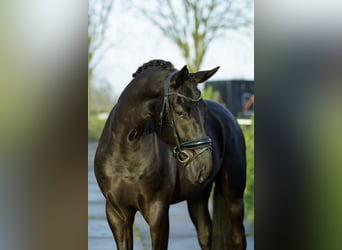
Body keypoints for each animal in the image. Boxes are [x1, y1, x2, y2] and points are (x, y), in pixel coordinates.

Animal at [94, 59, 246, 249]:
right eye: (180, 112)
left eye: (204, 111)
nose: (204, 166)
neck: (126, 150)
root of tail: (230, 117)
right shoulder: (117, 214)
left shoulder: (158, 212)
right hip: (197, 196)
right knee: (205, 234)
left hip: (234, 196)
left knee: (238, 237)